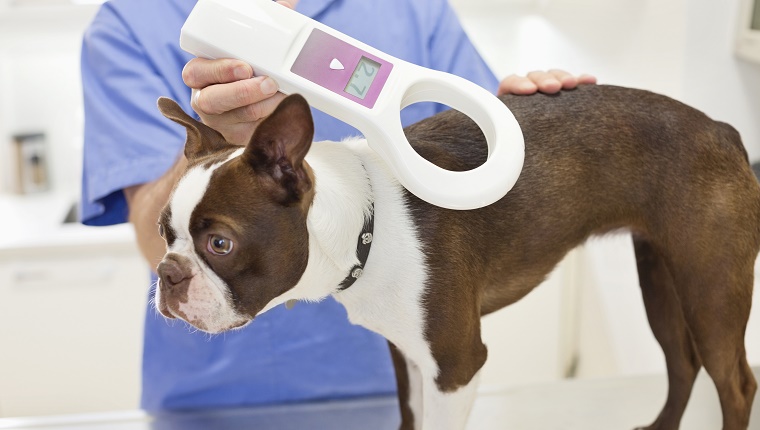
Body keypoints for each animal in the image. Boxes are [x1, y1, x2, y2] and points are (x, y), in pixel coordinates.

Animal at [151, 85, 756, 430]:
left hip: (711, 290)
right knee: (682, 364)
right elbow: (410, 419)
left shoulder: (457, 366)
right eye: (163, 232)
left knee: (734, 382)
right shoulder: (411, 357)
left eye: (220, 244)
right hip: (660, 279)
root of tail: (723, 130)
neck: (369, 223)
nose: (167, 274)